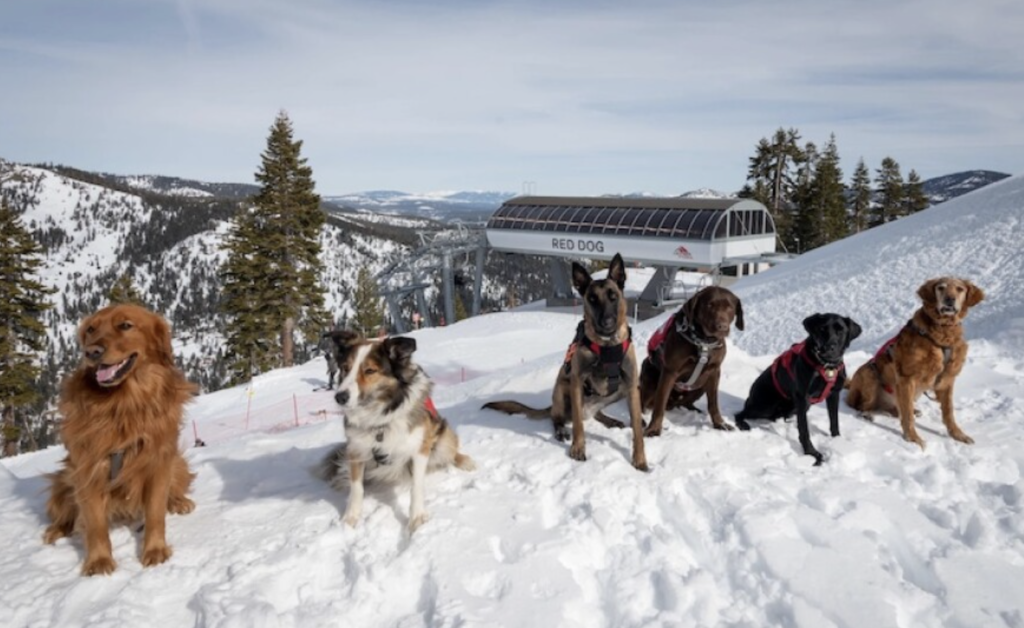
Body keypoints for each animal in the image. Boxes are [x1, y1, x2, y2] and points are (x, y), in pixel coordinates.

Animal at [44, 303, 196, 573]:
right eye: (90, 329)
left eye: (125, 325)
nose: (91, 351)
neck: (123, 404)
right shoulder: (87, 468)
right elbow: (95, 524)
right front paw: (98, 561)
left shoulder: (158, 461)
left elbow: (155, 513)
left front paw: (155, 550)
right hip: (62, 481)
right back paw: (55, 530)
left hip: (177, 462)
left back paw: (179, 501)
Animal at [481, 252, 647, 467]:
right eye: (592, 299)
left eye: (613, 296)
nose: (607, 322)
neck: (607, 347)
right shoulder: (576, 381)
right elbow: (577, 426)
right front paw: (577, 449)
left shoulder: (632, 384)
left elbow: (637, 428)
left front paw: (640, 459)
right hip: (561, 387)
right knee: (557, 418)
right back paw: (561, 430)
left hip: (619, 391)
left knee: (597, 413)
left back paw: (610, 420)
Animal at [638, 284, 745, 436]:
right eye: (709, 305)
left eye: (729, 307)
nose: (722, 327)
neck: (704, 341)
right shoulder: (670, 371)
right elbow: (659, 405)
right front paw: (654, 429)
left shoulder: (714, 371)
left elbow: (713, 404)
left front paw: (720, 424)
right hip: (649, 374)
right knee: (641, 402)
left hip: (701, 385)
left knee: (686, 403)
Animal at [847, 276, 983, 448]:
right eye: (941, 287)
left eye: (960, 289)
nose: (949, 300)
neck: (942, 332)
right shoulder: (906, 378)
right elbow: (907, 416)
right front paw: (913, 438)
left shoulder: (947, 380)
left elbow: (949, 412)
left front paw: (958, 435)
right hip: (869, 374)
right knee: (861, 406)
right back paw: (868, 414)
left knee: (894, 408)